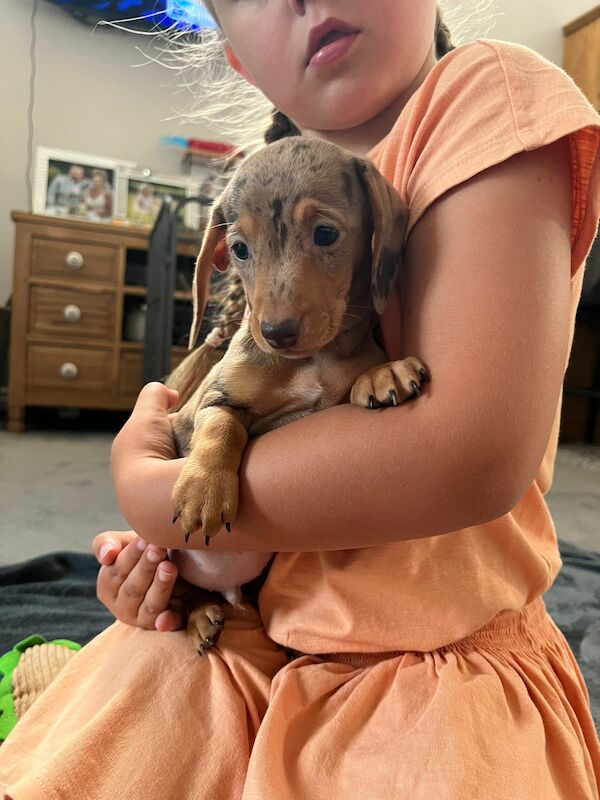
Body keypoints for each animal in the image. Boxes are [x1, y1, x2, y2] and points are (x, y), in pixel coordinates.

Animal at [166, 136, 426, 648]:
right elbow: (223, 425)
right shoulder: (209, 402)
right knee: (178, 594)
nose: (276, 333)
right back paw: (199, 616)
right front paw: (204, 488)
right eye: (239, 249)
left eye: (325, 234)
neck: (308, 361)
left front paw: (382, 373)